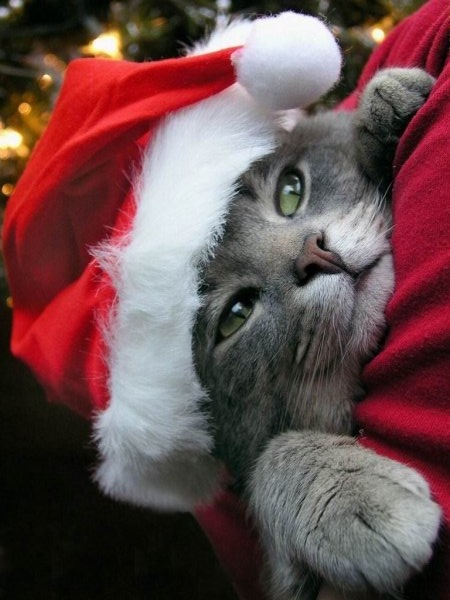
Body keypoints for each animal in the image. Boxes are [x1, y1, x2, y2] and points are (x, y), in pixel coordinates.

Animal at [193, 68, 441, 600]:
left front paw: (383, 109)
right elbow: (268, 461)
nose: (314, 253)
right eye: (236, 314)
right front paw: (354, 497)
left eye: (291, 190)